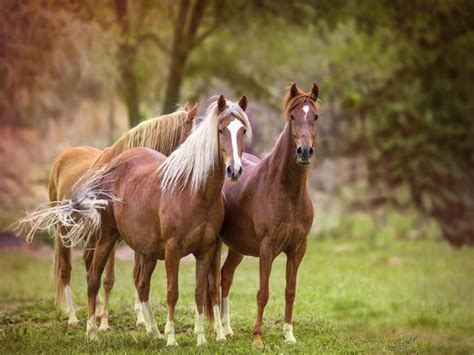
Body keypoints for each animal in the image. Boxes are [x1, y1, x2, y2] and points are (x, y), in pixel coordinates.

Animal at [18, 104, 196, 330]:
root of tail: (64, 156)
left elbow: (134, 275)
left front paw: (142, 321)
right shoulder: (110, 235)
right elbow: (109, 279)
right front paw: (103, 324)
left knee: (88, 265)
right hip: (65, 231)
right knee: (66, 270)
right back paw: (74, 318)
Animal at [63, 94, 252, 344]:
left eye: (242, 130)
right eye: (220, 130)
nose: (234, 170)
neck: (194, 192)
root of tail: (111, 165)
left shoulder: (206, 251)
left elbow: (200, 292)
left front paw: (201, 338)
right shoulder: (173, 250)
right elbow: (173, 292)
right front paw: (172, 338)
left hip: (147, 249)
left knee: (142, 285)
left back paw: (153, 331)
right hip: (106, 239)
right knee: (94, 279)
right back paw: (92, 331)